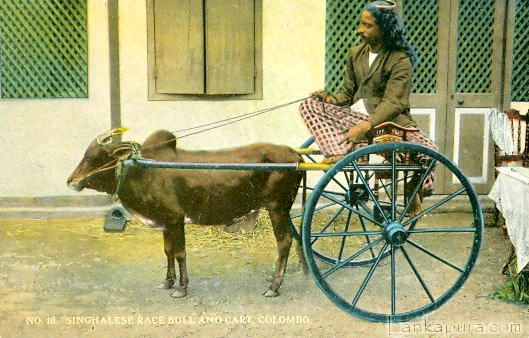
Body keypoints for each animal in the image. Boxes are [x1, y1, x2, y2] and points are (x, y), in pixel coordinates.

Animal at [66, 128, 306, 298]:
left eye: (90, 157)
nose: (71, 181)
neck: (141, 169)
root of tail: (296, 155)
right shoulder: (165, 220)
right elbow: (168, 251)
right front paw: (167, 281)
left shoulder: (175, 218)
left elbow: (180, 252)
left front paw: (181, 288)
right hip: (283, 210)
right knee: (295, 238)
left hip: (277, 207)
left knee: (284, 242)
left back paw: (274, 286)